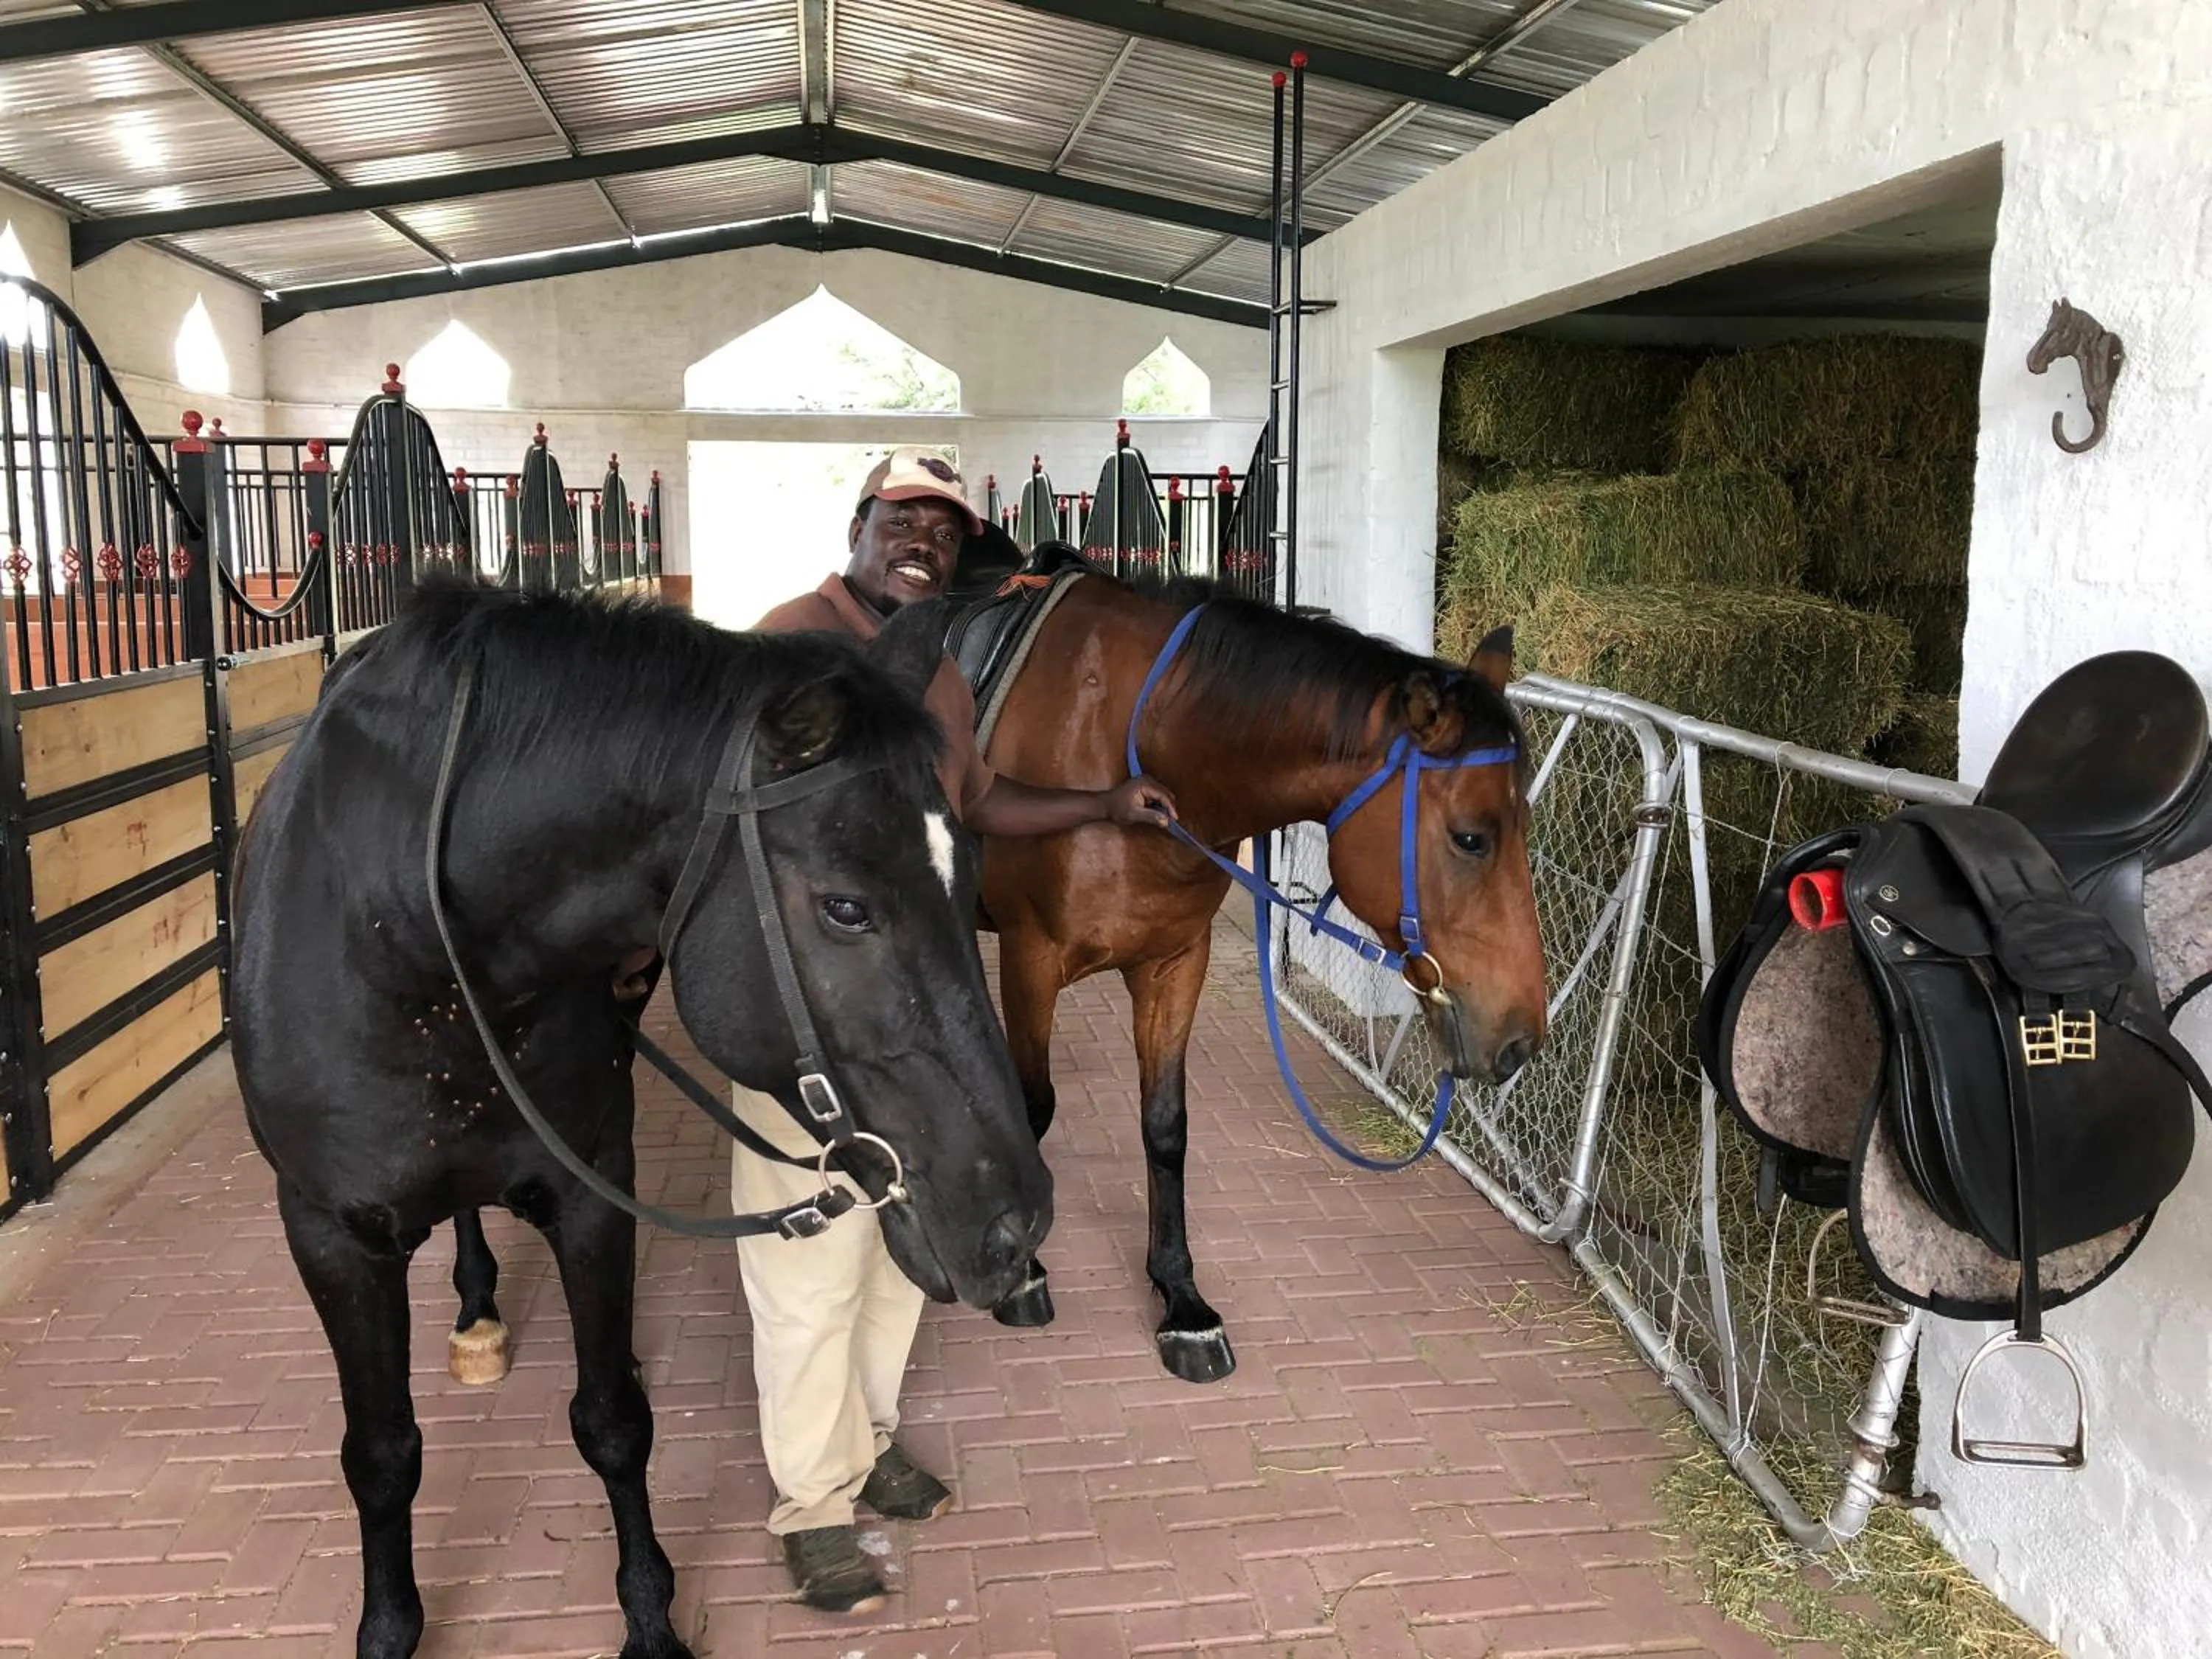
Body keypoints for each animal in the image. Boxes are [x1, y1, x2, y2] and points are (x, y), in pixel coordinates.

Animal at [230, 582, 1052, 1659]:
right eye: (846, 907)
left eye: (970, 879)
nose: (1018, 1221)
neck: (403, 930)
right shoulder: (326, 1233)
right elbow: (381, 1455)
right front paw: (390, 1625)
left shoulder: (592, 1188)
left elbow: (613, 1420)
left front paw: (653, 1618)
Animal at [971, 570, 1548, 1382]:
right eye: (1471, 838)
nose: (1521, 1037)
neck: (1123, 742)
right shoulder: (1030, 957)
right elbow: (1033, 1109)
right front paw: (1021, 1272)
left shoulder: (1176, 964)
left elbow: (1166, 1127)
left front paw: (1181, 1298)